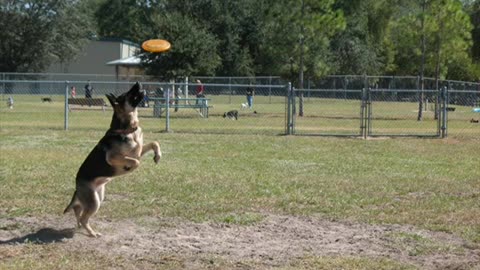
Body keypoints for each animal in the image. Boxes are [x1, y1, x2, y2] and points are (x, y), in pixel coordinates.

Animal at [62, 81, 161, 236]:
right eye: (127, 94)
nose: (138, 83)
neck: (128, 129)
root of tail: (77, 187)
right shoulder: (114, 157)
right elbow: (136, 162)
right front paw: (129, 167)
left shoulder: (138, 151)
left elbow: (154, 143)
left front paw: (157, 156)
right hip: (94, 201)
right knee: (84, 217)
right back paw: (92, 233)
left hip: (98, 196)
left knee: (78, 209)